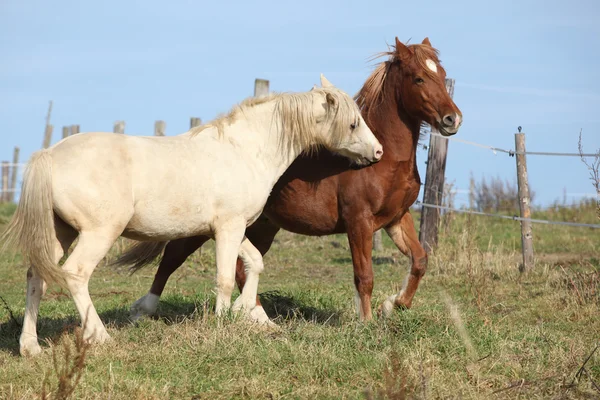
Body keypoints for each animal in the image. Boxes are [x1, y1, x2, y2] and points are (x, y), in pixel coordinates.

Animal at [2, 75, 382, 356]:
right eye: (352, 124)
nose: (377, 152)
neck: (245, 150)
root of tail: (50, 154)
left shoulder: (230, 229)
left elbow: (255, 262)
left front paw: (243, 311)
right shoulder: (229, 228)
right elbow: (226, 277)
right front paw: (223, 324)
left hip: (59, 233)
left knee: (37, 277)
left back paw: (30, 347)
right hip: (98, 233)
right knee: (75, 275)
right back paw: (100, 335)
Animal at [118, 36, 464, 320]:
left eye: (442, 75)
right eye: (419, 78)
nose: (453, 119)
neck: (387, 162)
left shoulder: (395, 219)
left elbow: (420, 261)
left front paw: (393, 305)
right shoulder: (359, 221)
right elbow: (364, 276)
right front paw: (366, 323)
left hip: (262, 226)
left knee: (243, 268)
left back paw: (258, 319)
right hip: (208, 225)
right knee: (173, 257)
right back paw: (143, 310)